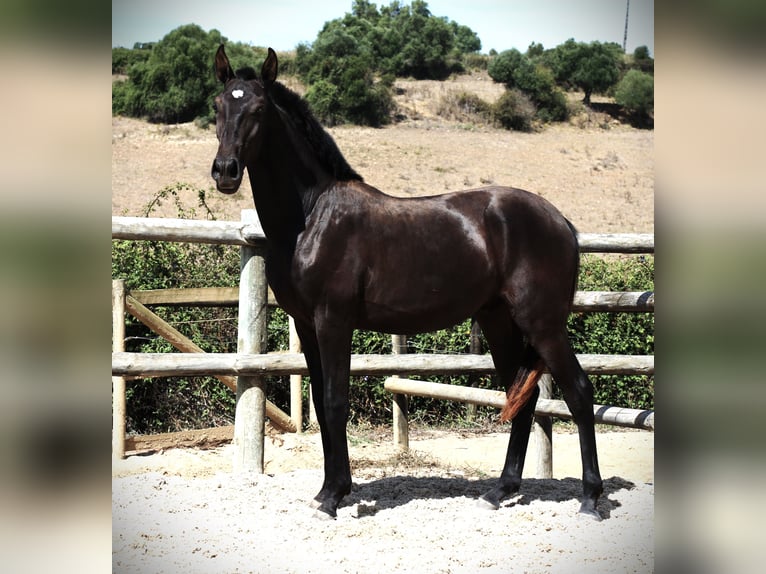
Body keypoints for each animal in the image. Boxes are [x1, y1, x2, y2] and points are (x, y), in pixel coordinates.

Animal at [213, 45, 604, 520]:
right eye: (217, 105)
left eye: (257, 109)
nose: (225, 171)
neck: (311, 217)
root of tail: (561, 222)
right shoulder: (307, 326)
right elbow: (323, 406)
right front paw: (329, 490)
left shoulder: (333, 322)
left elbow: (335, 402)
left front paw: (334, 496)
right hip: (499, 322)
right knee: (523, 397)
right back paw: (501, 489)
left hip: (543, 324)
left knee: (579, 394)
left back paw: (591, 498)